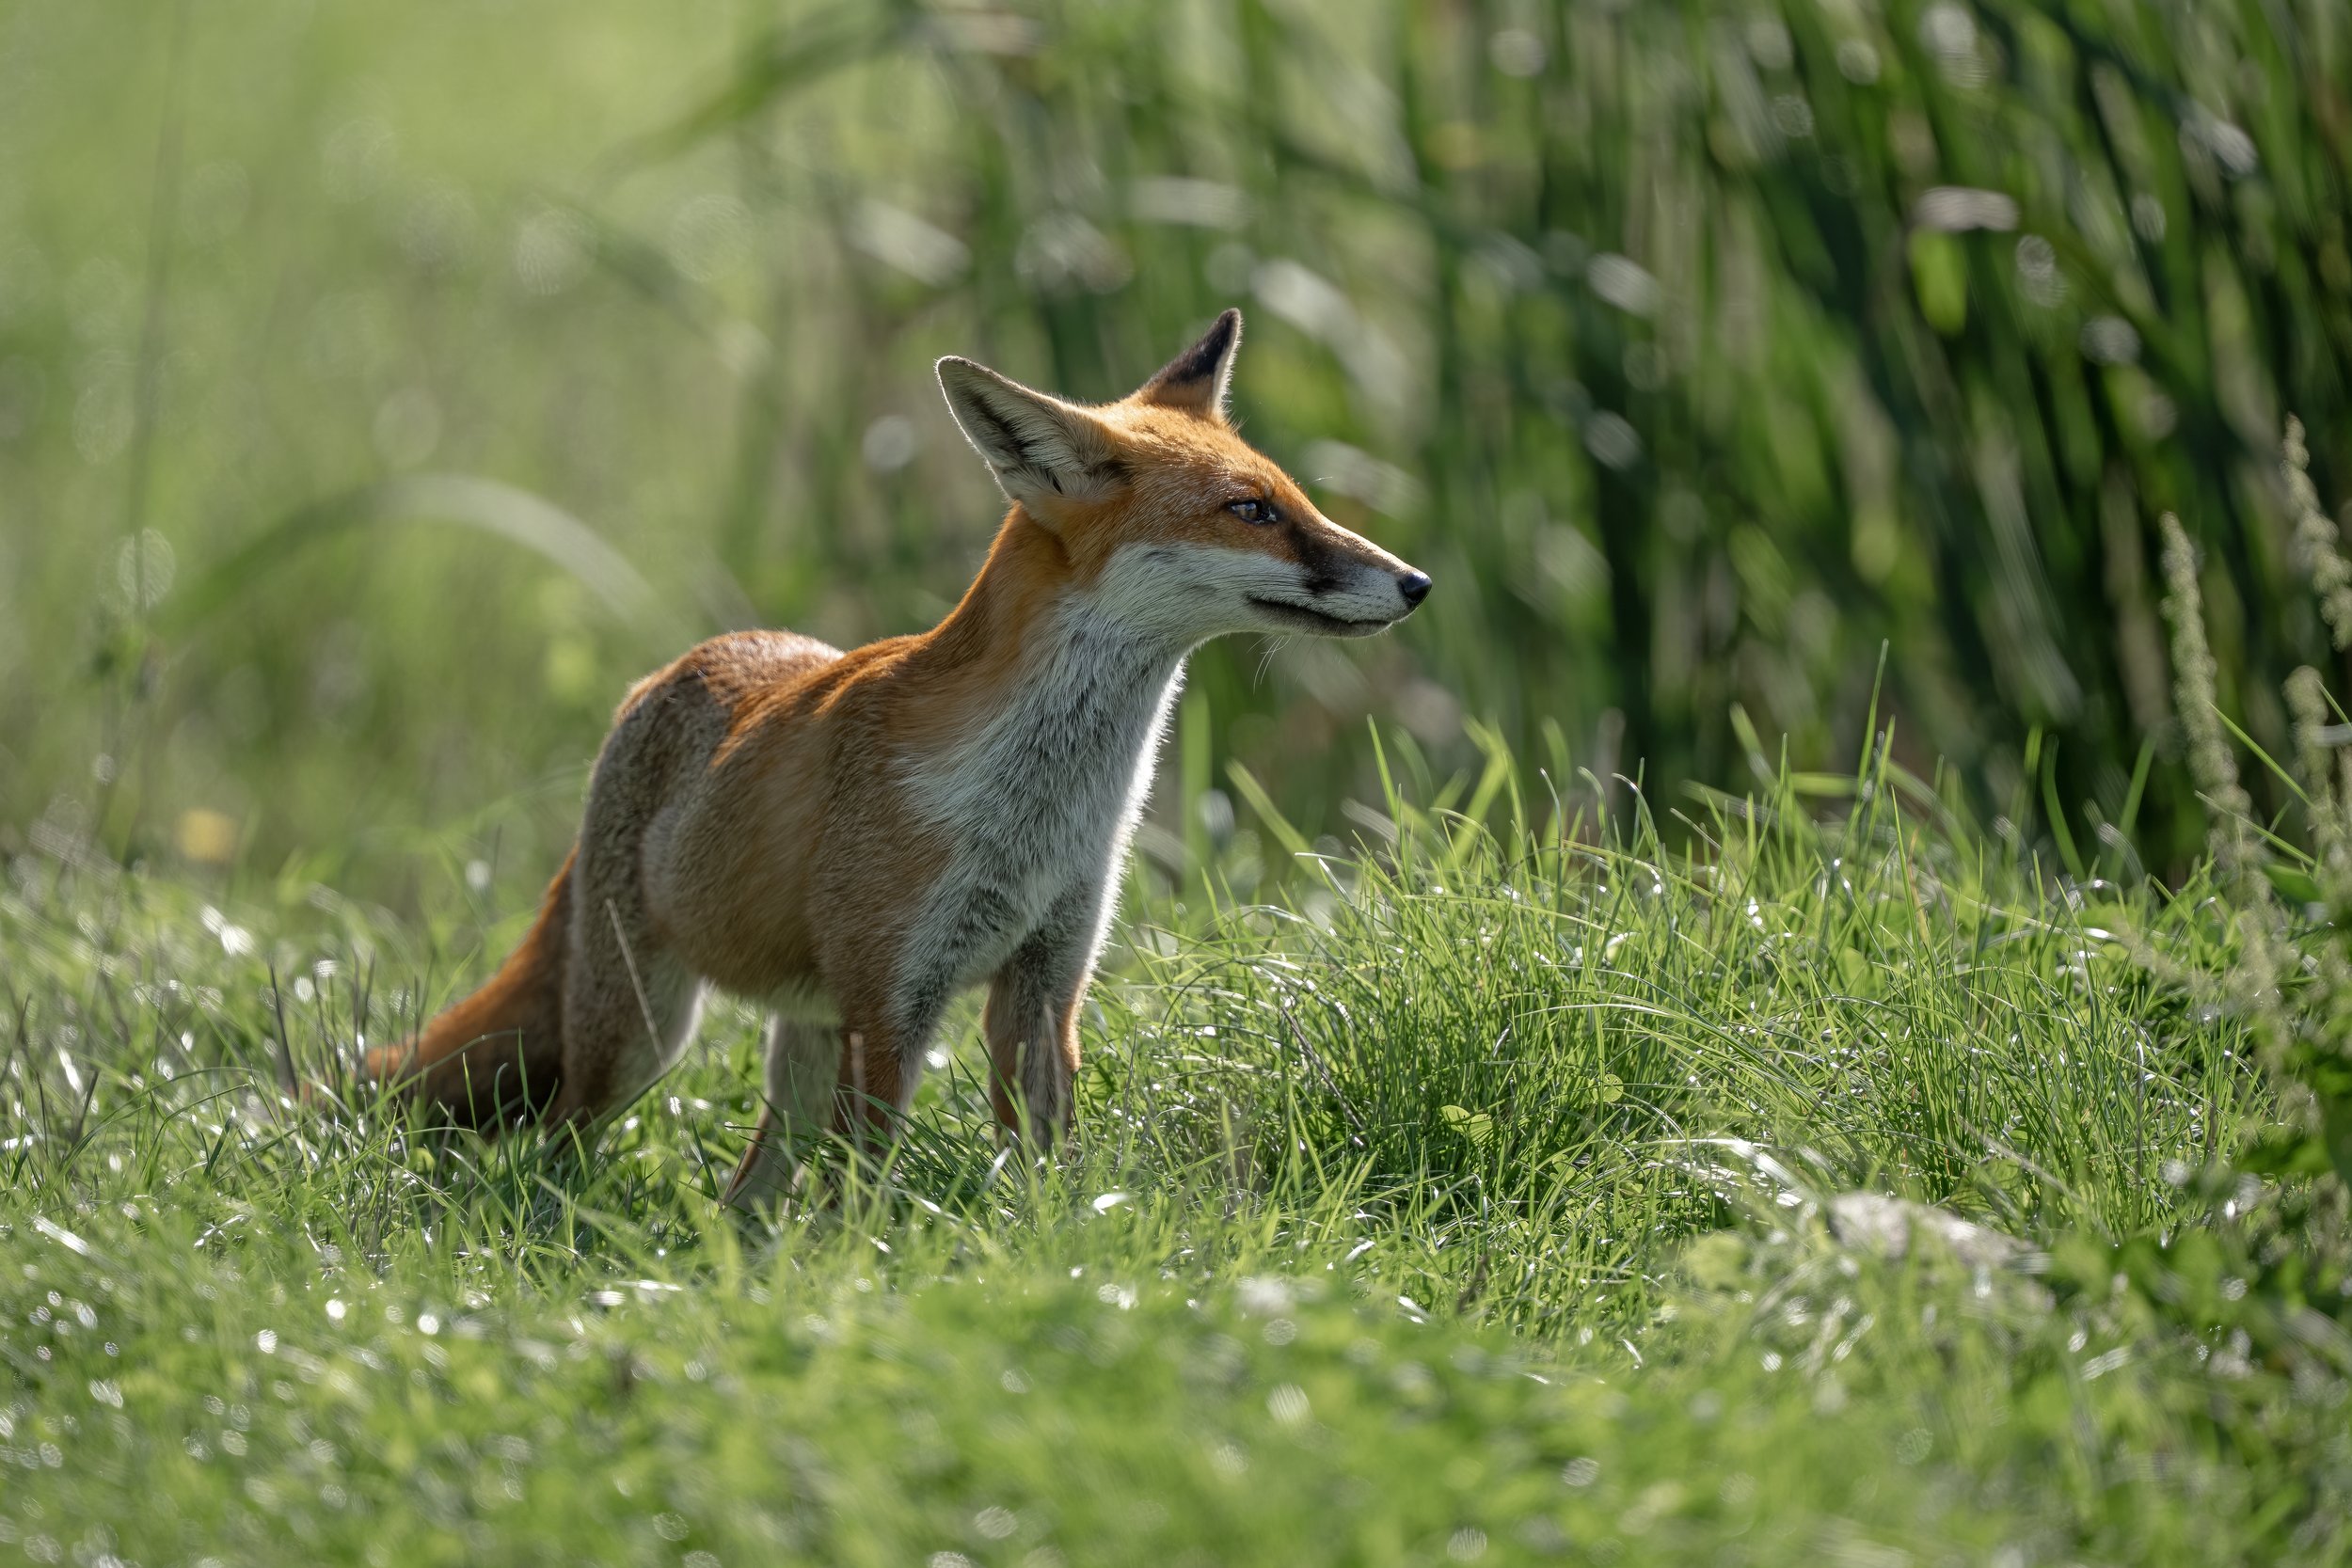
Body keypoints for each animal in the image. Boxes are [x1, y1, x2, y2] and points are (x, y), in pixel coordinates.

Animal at [366, 309, 1430, 1206]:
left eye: (1295, 499)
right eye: (1251, 511)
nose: (1417, 582)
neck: (1040, 807)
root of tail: (664, 675)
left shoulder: (1045, 987)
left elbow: (1044, 1173)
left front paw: (1058, 1258)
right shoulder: (893, 1003)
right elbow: (860, 1196)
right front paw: (856, 1284)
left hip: (800, 1038)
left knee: (752, 1190)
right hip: (644, 1035)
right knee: (557, 1146)